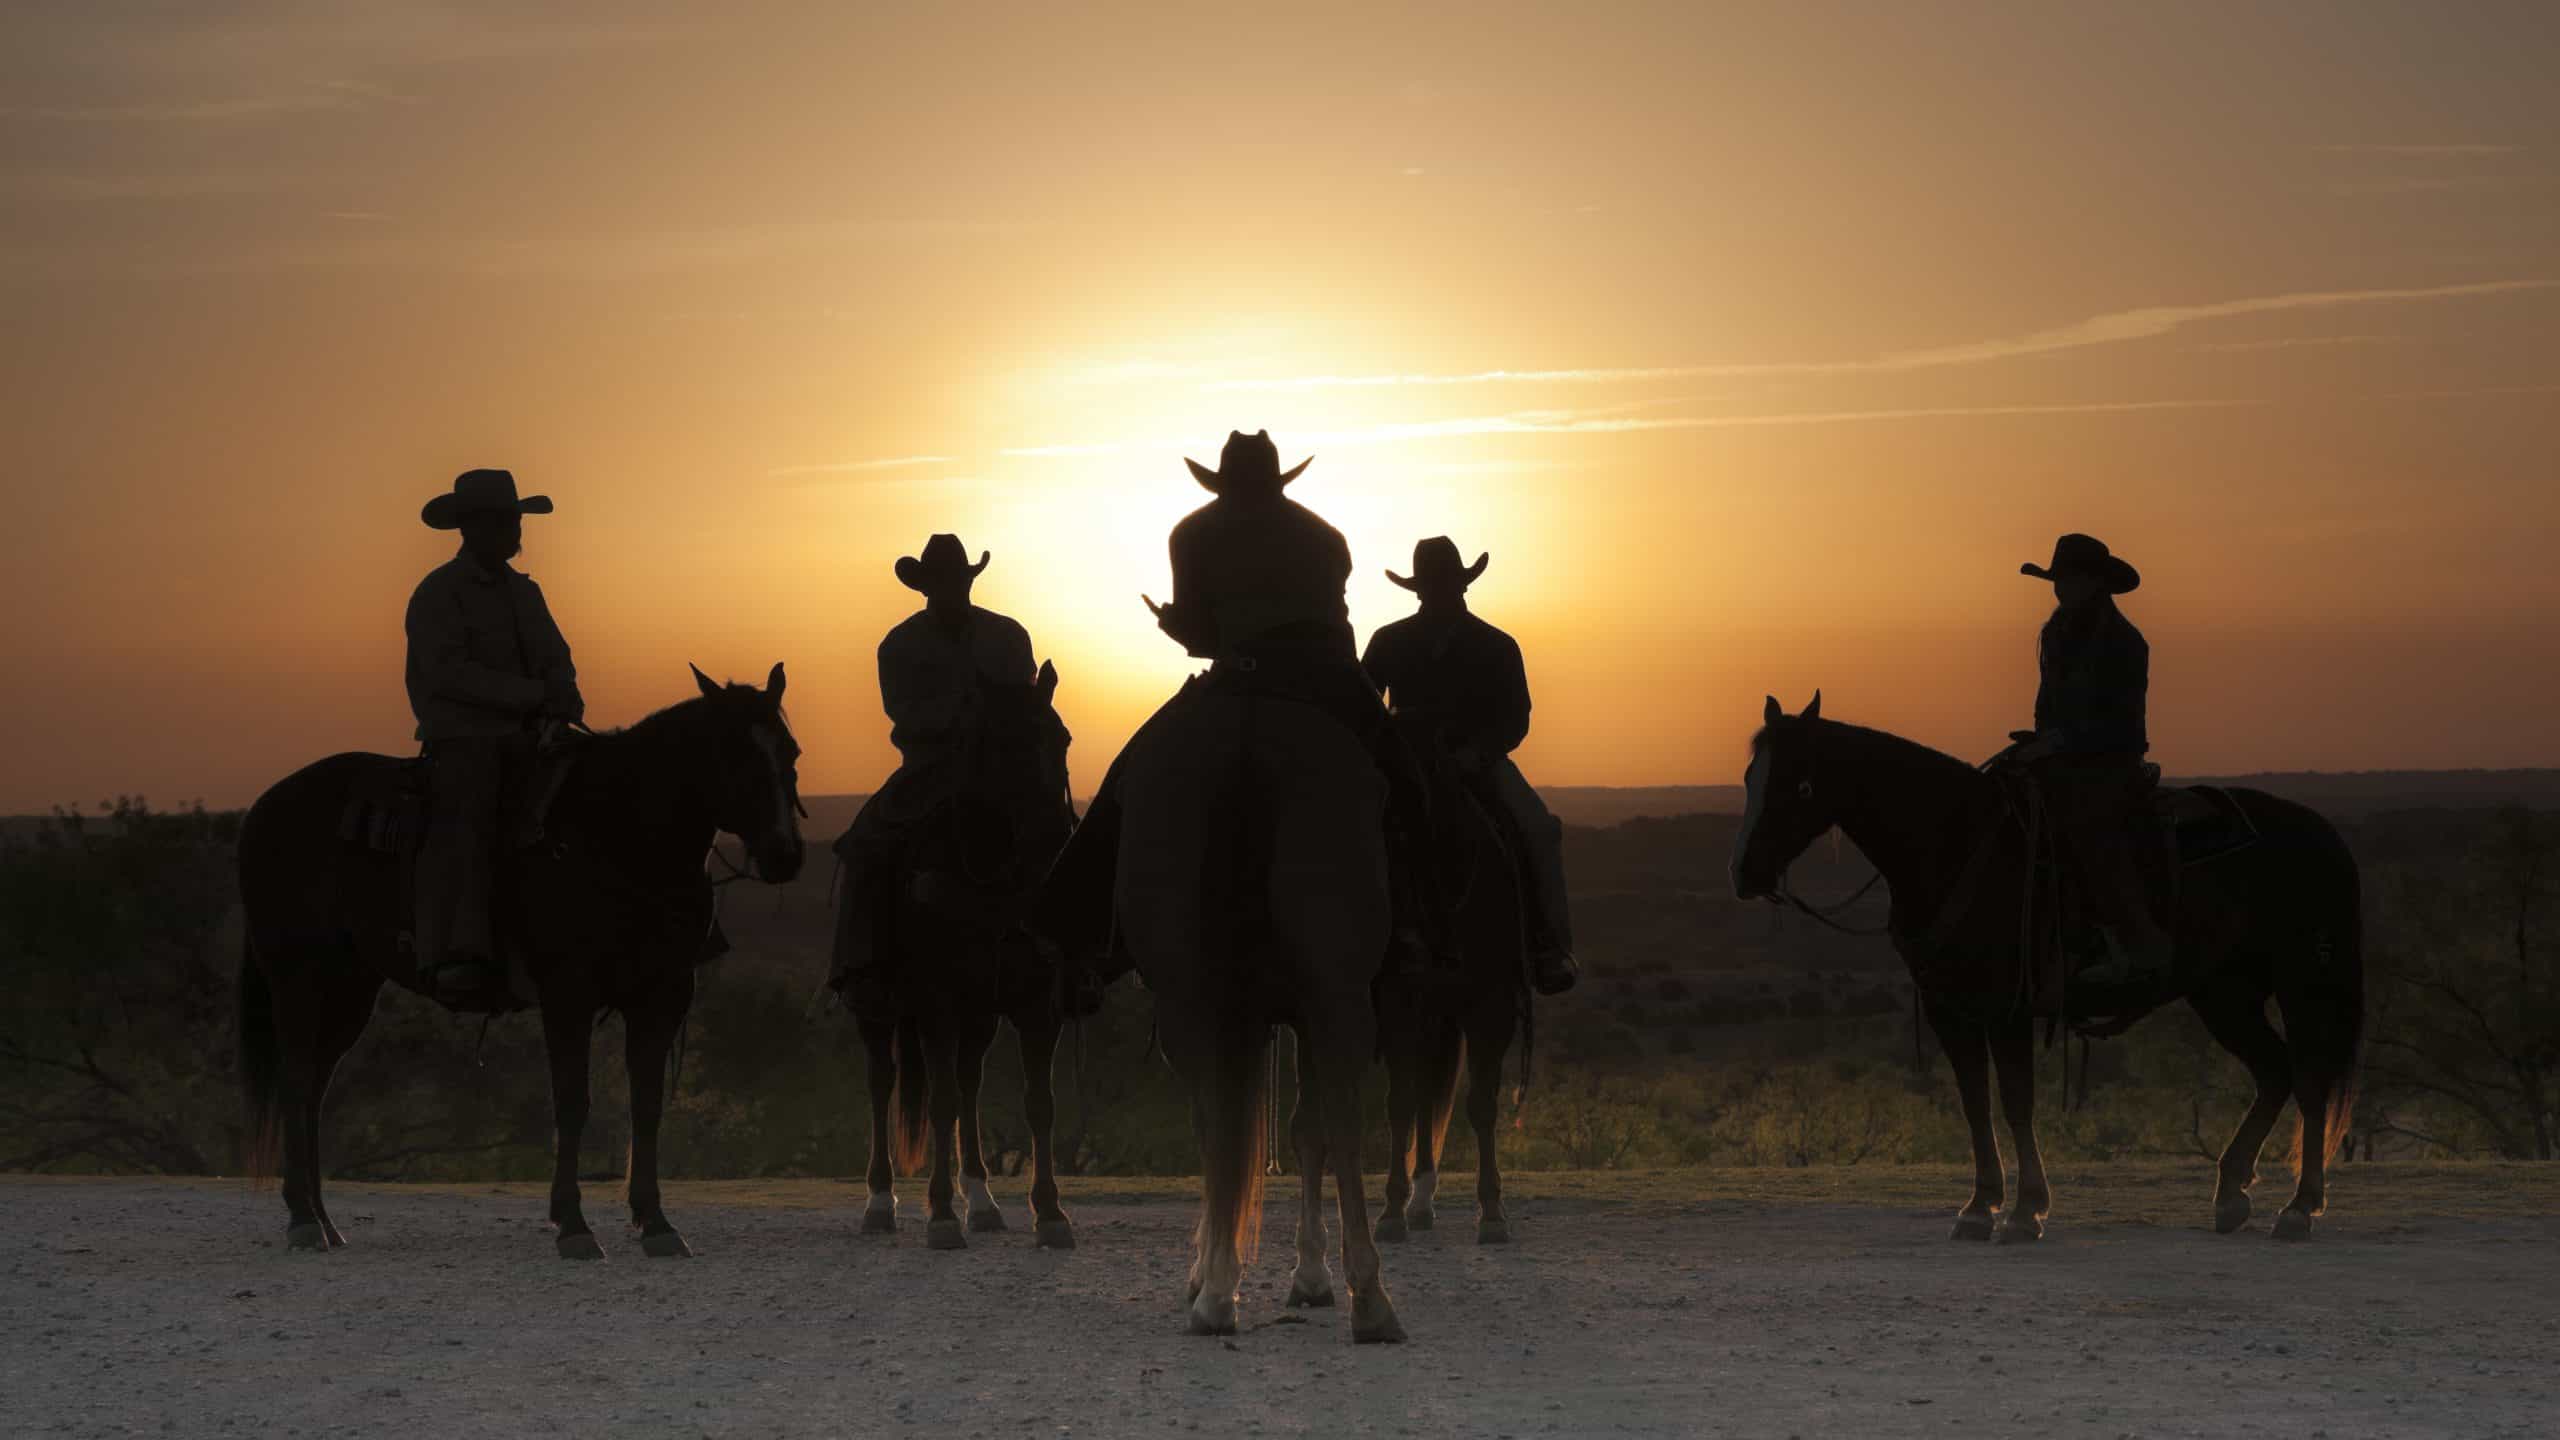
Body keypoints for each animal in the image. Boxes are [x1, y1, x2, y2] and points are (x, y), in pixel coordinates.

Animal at [239, 666, 803, 1255]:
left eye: (790, 751)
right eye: (731, 752)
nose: (785, 854)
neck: (617, 833)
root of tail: (264, 808)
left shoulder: (661, 995)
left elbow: (646, 1105)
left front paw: (656, 1223)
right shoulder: (568, 994)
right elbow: (572, 1102)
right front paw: (573, 1226)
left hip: (350, 987)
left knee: (315, 1089)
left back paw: (325, 1222)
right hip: (298, 978)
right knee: (296, 1080)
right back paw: (302, 1218)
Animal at [839, 661, 1080, 1245]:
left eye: (1061, 738)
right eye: (1004, 744)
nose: (1052, 841)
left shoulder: (1036, 1006)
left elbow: (1039, 1104)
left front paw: (1050, 1213)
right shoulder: (936, 1004)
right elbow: (941, 1102)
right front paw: (943, 1214)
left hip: (978, 1016)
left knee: (969, 1084)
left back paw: (983, 1200)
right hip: (876, 1008)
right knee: (883, 1082)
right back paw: (880, 1202)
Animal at [1116, 676, 1413, 1342]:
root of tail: (1247, 736)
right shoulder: (1304, 1010)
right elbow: (1308, 1128)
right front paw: (1310, 1273)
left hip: (1195, 999)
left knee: (1217, 1117)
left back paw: (1223, 1292)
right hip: (1333, 994)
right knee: (1337, 1119)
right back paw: (1367, 1298)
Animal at [1372, 712, 1525, 1245]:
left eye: (1416, 813)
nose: (1406, 938)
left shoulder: (1490, 1005)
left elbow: (1481, 1106)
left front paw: (1494, 1212)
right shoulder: (1399, 1002)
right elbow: (1400, 1103)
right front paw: (1391, 1211)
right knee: (1422, 1097)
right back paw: (1417, 1203)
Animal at [1730, 691, 2365, 1240]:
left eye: (1800, 784)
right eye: (1749, 778)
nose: (1746, 875)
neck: (1956, 845)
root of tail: (2321, 831)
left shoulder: (2008, 1005)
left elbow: (2016, 1101)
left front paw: (2024, 1210)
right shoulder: (1948, 1008)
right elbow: (1974, 1101)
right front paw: (1979, 1206)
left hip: (2304, 982)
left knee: (2310, 1078)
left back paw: (2299, 1208)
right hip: (2225, 993)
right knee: (2275, 1071)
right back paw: (2232, 1194)